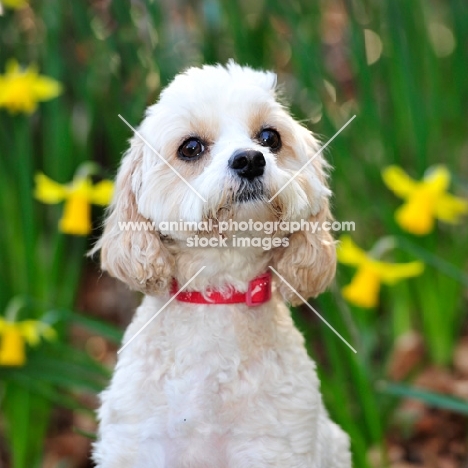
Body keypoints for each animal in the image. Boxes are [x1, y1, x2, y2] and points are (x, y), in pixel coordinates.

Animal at [91, 62, 352, 468]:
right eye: (191, 147)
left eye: (269, 137)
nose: (250, 159)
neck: (219, 295)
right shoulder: (136, 446)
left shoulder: (273, 448)